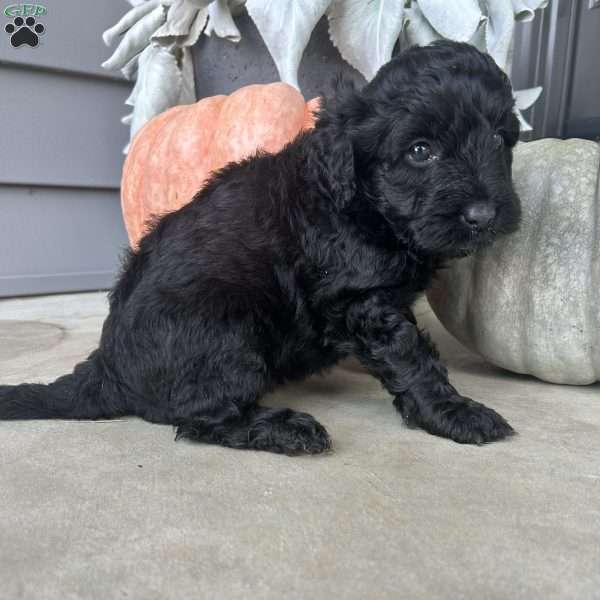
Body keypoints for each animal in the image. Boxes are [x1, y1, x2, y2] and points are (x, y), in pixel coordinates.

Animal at [0, 43, 520, 454]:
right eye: (420, 151)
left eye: (500, 138)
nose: (484, 216)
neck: (362, 202)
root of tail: (107, 367)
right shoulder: (361, 301)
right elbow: (413, 359)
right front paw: (456, 413)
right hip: (230, 328)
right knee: (199, 416)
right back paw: (283, 429)